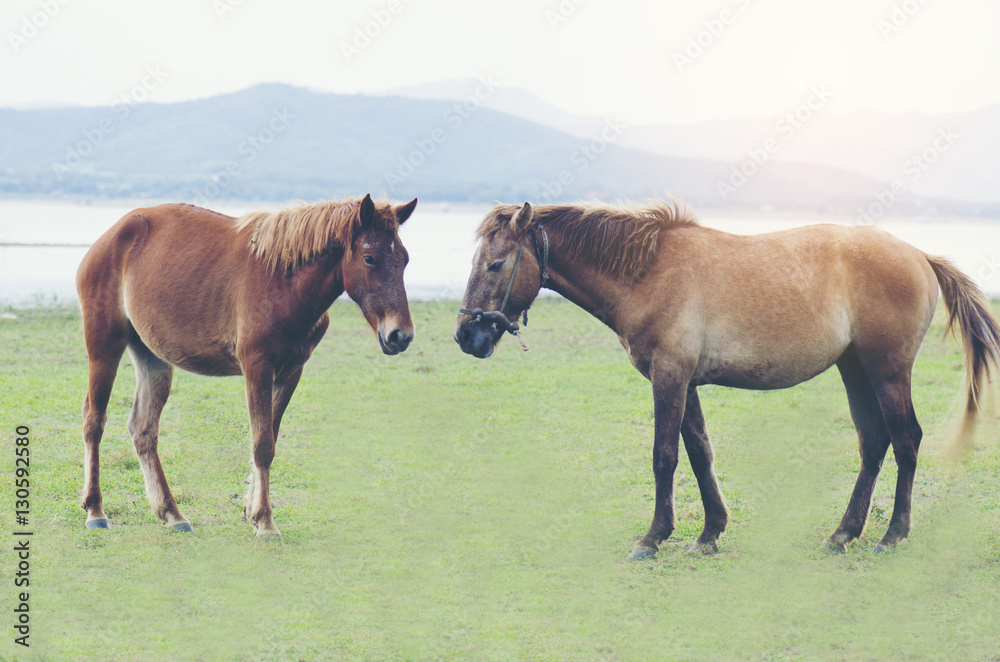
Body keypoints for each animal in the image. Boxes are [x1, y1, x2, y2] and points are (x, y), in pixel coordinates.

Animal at [77, 194, 417, 538]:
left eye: (404, 259)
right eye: (370, 258)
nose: (400, 335)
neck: (284, 281)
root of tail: (109, 237)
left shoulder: (291, 372)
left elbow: (271, 437)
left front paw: (251, 510)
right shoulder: (257, 368)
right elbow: (262, 444)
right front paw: (265, 522)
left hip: (153, 358)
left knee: (144, 429)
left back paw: (172, 513)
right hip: (104, 346)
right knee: (94, 421)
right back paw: (95, 510)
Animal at [455, 200, 1000, 559]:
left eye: (496, 264)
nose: (466, 335)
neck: (649, 272)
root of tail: (920, 255)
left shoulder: (669, 378)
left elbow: (665, 456)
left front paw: (653, 538)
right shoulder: (685, 382)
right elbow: (699, 452)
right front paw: (710, 532)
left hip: (887, 371)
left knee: (906, 440)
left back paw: (893, 535)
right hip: (856, 370)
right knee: (874, 442)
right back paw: (843, 533)